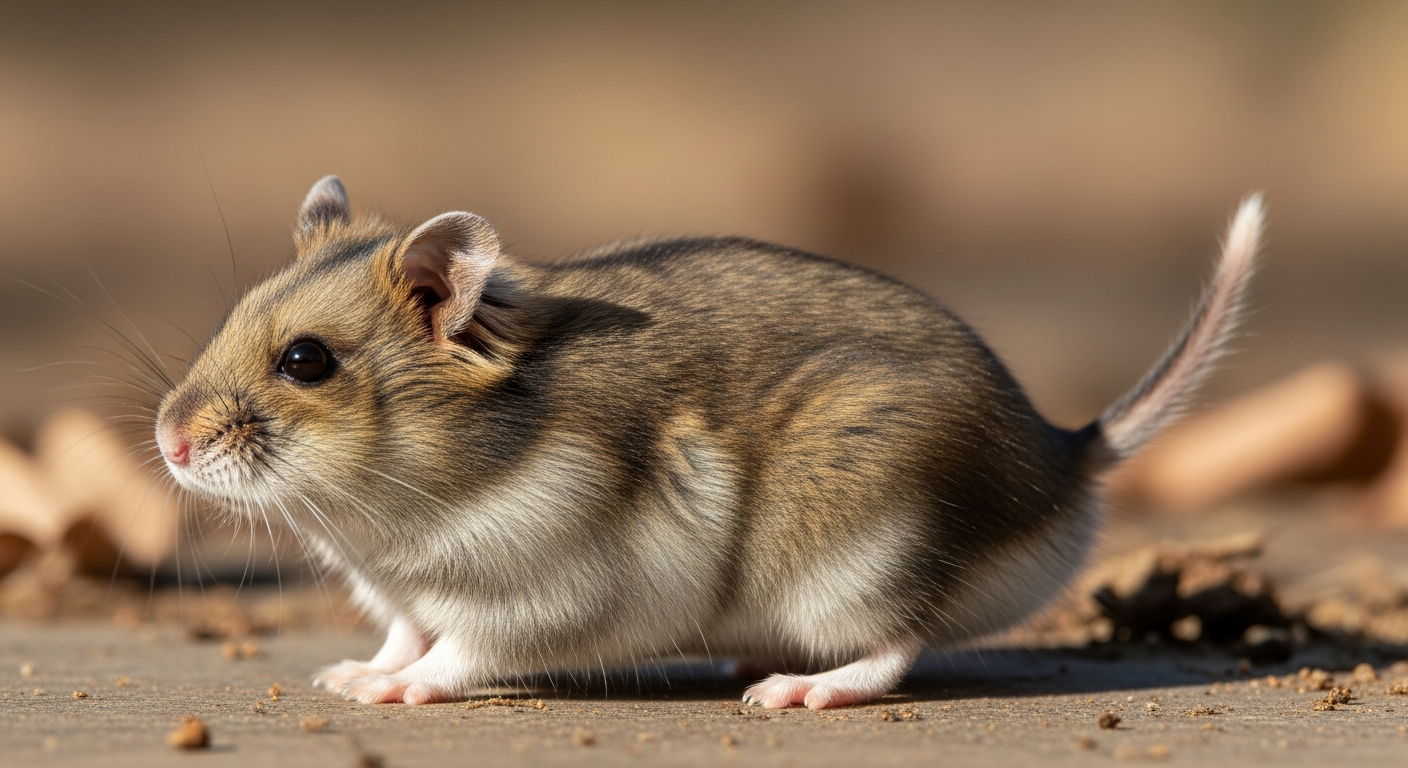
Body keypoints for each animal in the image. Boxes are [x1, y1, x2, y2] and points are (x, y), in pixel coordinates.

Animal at [154, 176, 1262, 708]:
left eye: (305, 361)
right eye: (234, 317)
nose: (166, 443)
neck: (391, 513)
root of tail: (1066, 455)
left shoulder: (535, 598)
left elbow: (453, 655)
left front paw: (391, 692)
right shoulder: (397, 594)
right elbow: (400, 634)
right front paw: (346, 677)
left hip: (853, 549)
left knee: (897, 644)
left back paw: (793, 690)